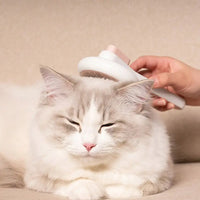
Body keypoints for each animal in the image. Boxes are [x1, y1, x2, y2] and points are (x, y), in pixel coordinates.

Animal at [0, 67, 173, 200]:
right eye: (73, 123)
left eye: (107, 125)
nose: (88, 145)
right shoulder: (35, 176)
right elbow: (73, 182)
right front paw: (93, 191)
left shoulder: (161, 177)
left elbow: (128, 188)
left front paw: (107, 191)